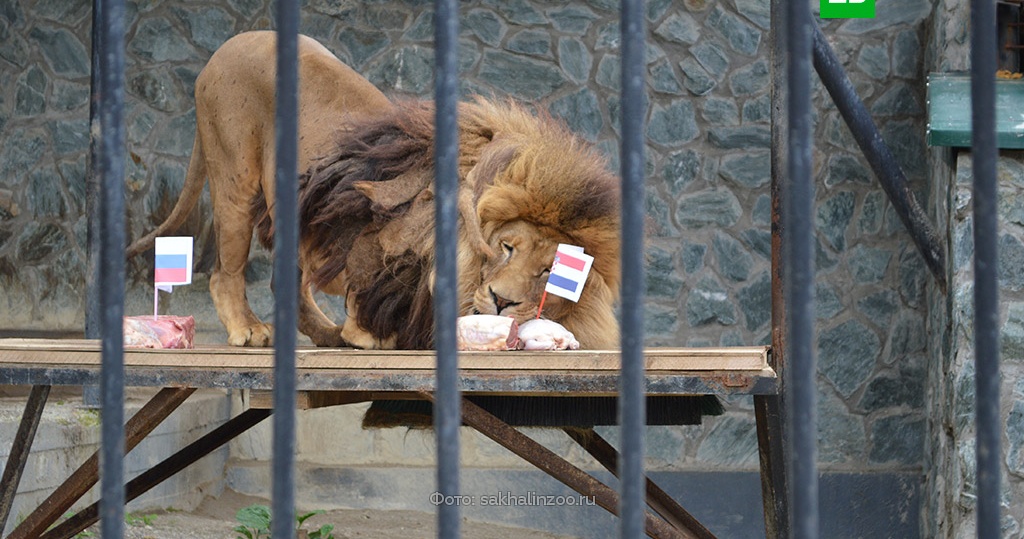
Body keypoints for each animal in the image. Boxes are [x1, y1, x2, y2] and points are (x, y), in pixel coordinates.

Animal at [131, 31, 618, 350]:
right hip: (235, 179)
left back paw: (325, 334)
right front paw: (366, 335)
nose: (502, 302)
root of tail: (225, 48)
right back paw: (251, 329)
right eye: (506, 248)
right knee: (224, 272)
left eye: (549, 272)